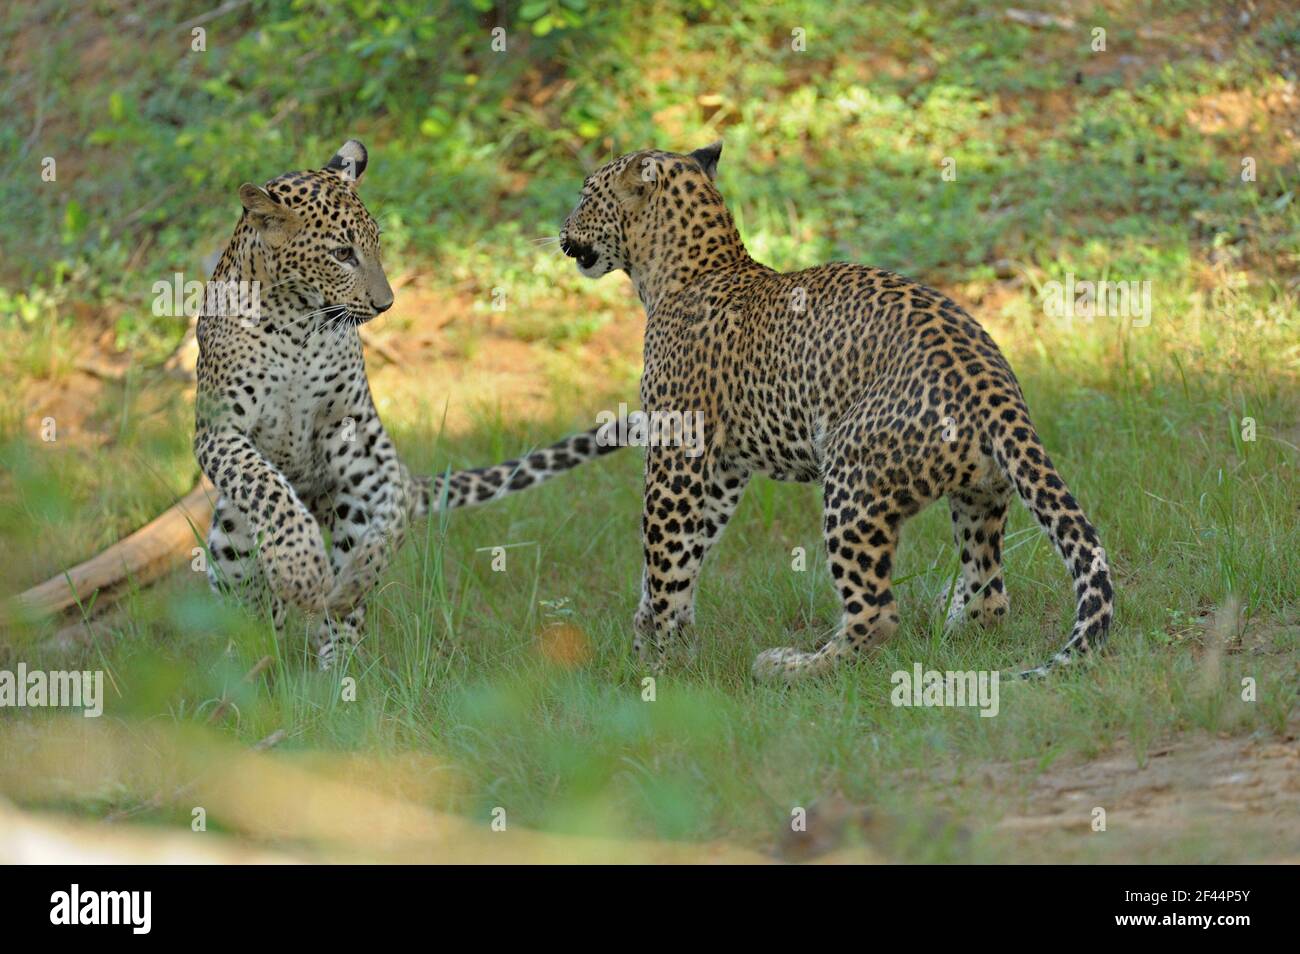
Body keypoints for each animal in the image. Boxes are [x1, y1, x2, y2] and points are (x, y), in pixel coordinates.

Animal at [192, 141, 618, 670]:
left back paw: (339, 663)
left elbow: (390, 512)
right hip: (228, 537)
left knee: (342, 604)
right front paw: (301, 566)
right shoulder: (218, 431)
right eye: (341, 254)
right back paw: (250, 661)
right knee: (250, 600)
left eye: (376, 245)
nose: (386, 304)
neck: (297, 323)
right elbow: (265, 486)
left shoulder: (353, 426)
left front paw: (357, 572)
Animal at [553, 140, 1112, 681]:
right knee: (989, 594)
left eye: (585, 195)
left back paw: (791, 667)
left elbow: (664, 559)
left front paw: (661, 664)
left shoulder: (677, 454)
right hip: (981, 493)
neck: (689, 267)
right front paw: (653, 642)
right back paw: (946, 631)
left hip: (852, 476)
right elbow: (682, 555)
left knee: (877, 615)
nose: (561, 232)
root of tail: (992, 382)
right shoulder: (723, 470)